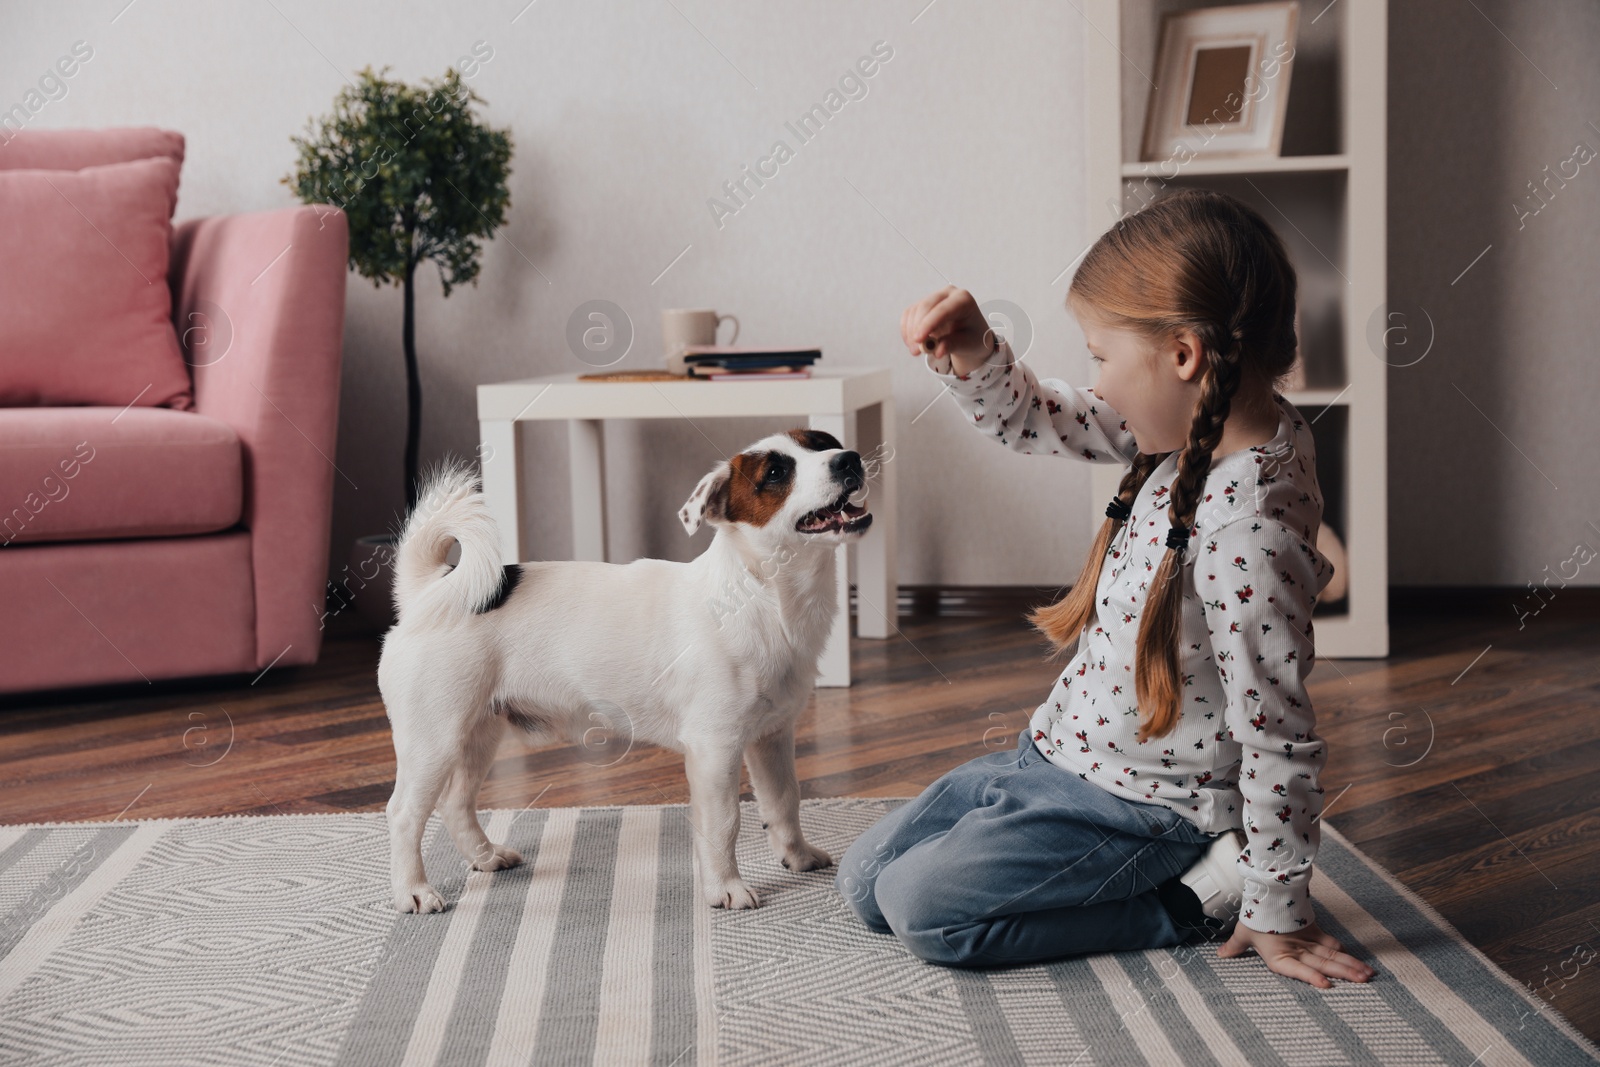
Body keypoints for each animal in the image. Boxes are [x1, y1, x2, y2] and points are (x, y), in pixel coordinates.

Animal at [379, 428, 870, 915]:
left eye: (825, 443)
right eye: (775, 473)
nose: (849, 458)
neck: (766, 596)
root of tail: (430, 591)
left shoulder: (772, 739)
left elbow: (785, 802)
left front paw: (798, 857)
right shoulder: (715, 748)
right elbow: (724, 823)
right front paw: (725, 887)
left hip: (479, 732)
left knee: (456, 803)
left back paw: (486, 857)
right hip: (435, 739)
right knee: (404, 814)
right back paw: (413, 891)